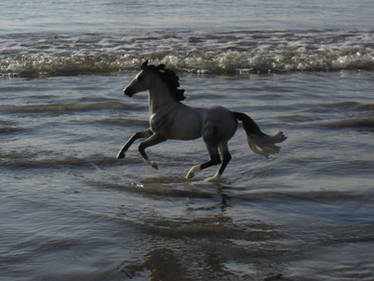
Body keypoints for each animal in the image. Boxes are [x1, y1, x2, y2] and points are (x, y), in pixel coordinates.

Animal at [117, 60, 286, 182]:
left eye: (140, 77)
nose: (126, 91)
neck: (164, 107)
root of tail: (231, 114)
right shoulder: (151, 131)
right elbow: (134, 135)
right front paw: (120, 154)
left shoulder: (161, 136)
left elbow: (141, 146)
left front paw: (154, 166)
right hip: (222, 140)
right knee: (226, 158)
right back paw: (213, 179)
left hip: (209, 138)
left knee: (216, 159)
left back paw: (191, 173)